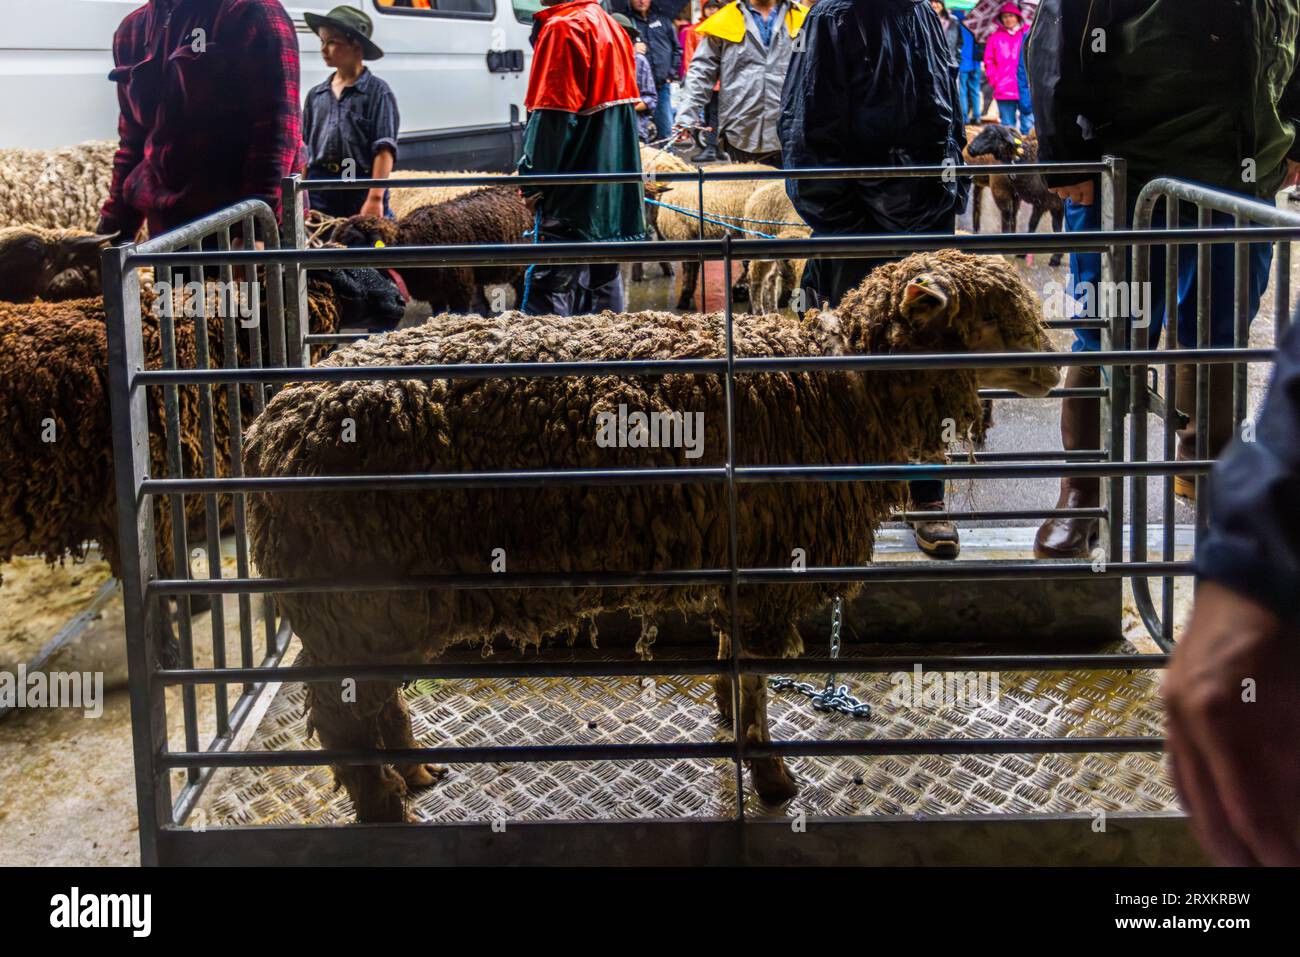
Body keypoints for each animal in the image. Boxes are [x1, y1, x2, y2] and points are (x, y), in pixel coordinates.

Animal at [242, 250, 1060, 822]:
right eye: (989, 316)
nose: (1055, 370)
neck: (836, 386)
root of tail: (275, 425)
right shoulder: (765, 566)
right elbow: (754, 680)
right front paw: (771, 777)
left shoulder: (741, 559)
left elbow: (734, 664)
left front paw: (734, 728)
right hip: (354, 593)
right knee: (341, 710)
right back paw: (384, 804)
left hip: (377, 601)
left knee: (371, 695)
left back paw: (413, 772)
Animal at [965, 124, 1064, 267]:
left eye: (992, 135)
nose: (970, 149)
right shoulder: (1047, 202)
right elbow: (1041, 225)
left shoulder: (1047, 201)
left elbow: (1036, 224)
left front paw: (1055, 257)